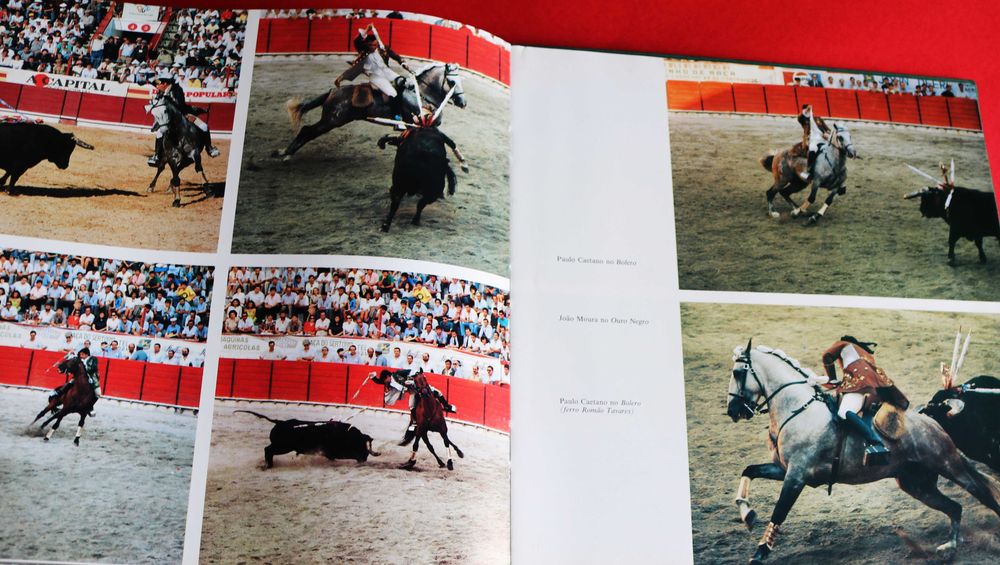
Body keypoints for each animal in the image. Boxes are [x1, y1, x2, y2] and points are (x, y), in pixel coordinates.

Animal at [276, 63, 467, 160]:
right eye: (451, 82)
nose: (463, 102)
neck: (420, 92)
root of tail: (332, 92)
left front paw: (386, 141)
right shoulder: (417, 123)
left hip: (330, 121)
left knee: (307, 131)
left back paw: (285, 152)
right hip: (331, 121)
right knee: (307, 131)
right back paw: (285, 153)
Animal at [726, 339, 1000, 564]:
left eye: (738, 373)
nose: (733, 410)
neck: (798, 408)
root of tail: (933, 422)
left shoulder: (796, 475)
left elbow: (780, 511)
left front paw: (760, 552)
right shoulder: (782, 469)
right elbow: (748, 470)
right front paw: (747, 514)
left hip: (948, 465)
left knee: (982, 494)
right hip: (917, 484)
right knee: (955, 508)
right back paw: (949, 548)